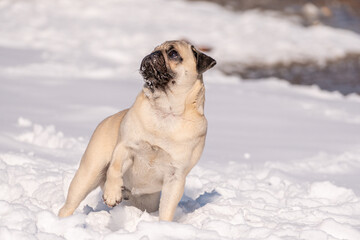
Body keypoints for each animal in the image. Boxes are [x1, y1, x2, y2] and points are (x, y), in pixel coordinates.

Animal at [58, 39, 217, 221]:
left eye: (173, 54)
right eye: (155, 49)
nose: (153, 54)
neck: (166, 110)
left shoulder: (175, 176)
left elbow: (167, 209)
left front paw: (164, 224)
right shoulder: (125, 148)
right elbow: (115, 169)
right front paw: (112, 194)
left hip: (145, 201)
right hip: (89, 174)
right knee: (68, 205)